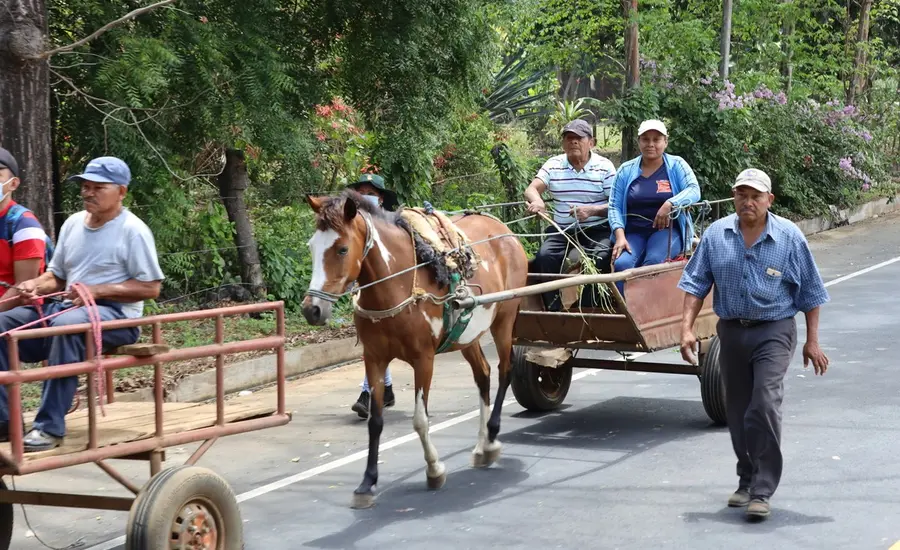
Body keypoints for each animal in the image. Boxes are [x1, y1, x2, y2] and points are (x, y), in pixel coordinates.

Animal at [302, 189, 528, 509]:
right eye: (312, 247)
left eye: (342, 249)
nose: (312, 310)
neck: (396, 284)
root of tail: (505, 232)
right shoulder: (374, 359)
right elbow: (375, 422)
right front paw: (367, 482)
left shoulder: (424, 359)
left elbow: (420, 420)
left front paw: (434, 469)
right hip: (467, 334)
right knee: (483, 375)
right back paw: (482, 445)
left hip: (505, 319)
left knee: (505, 370)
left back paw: (493, 437)